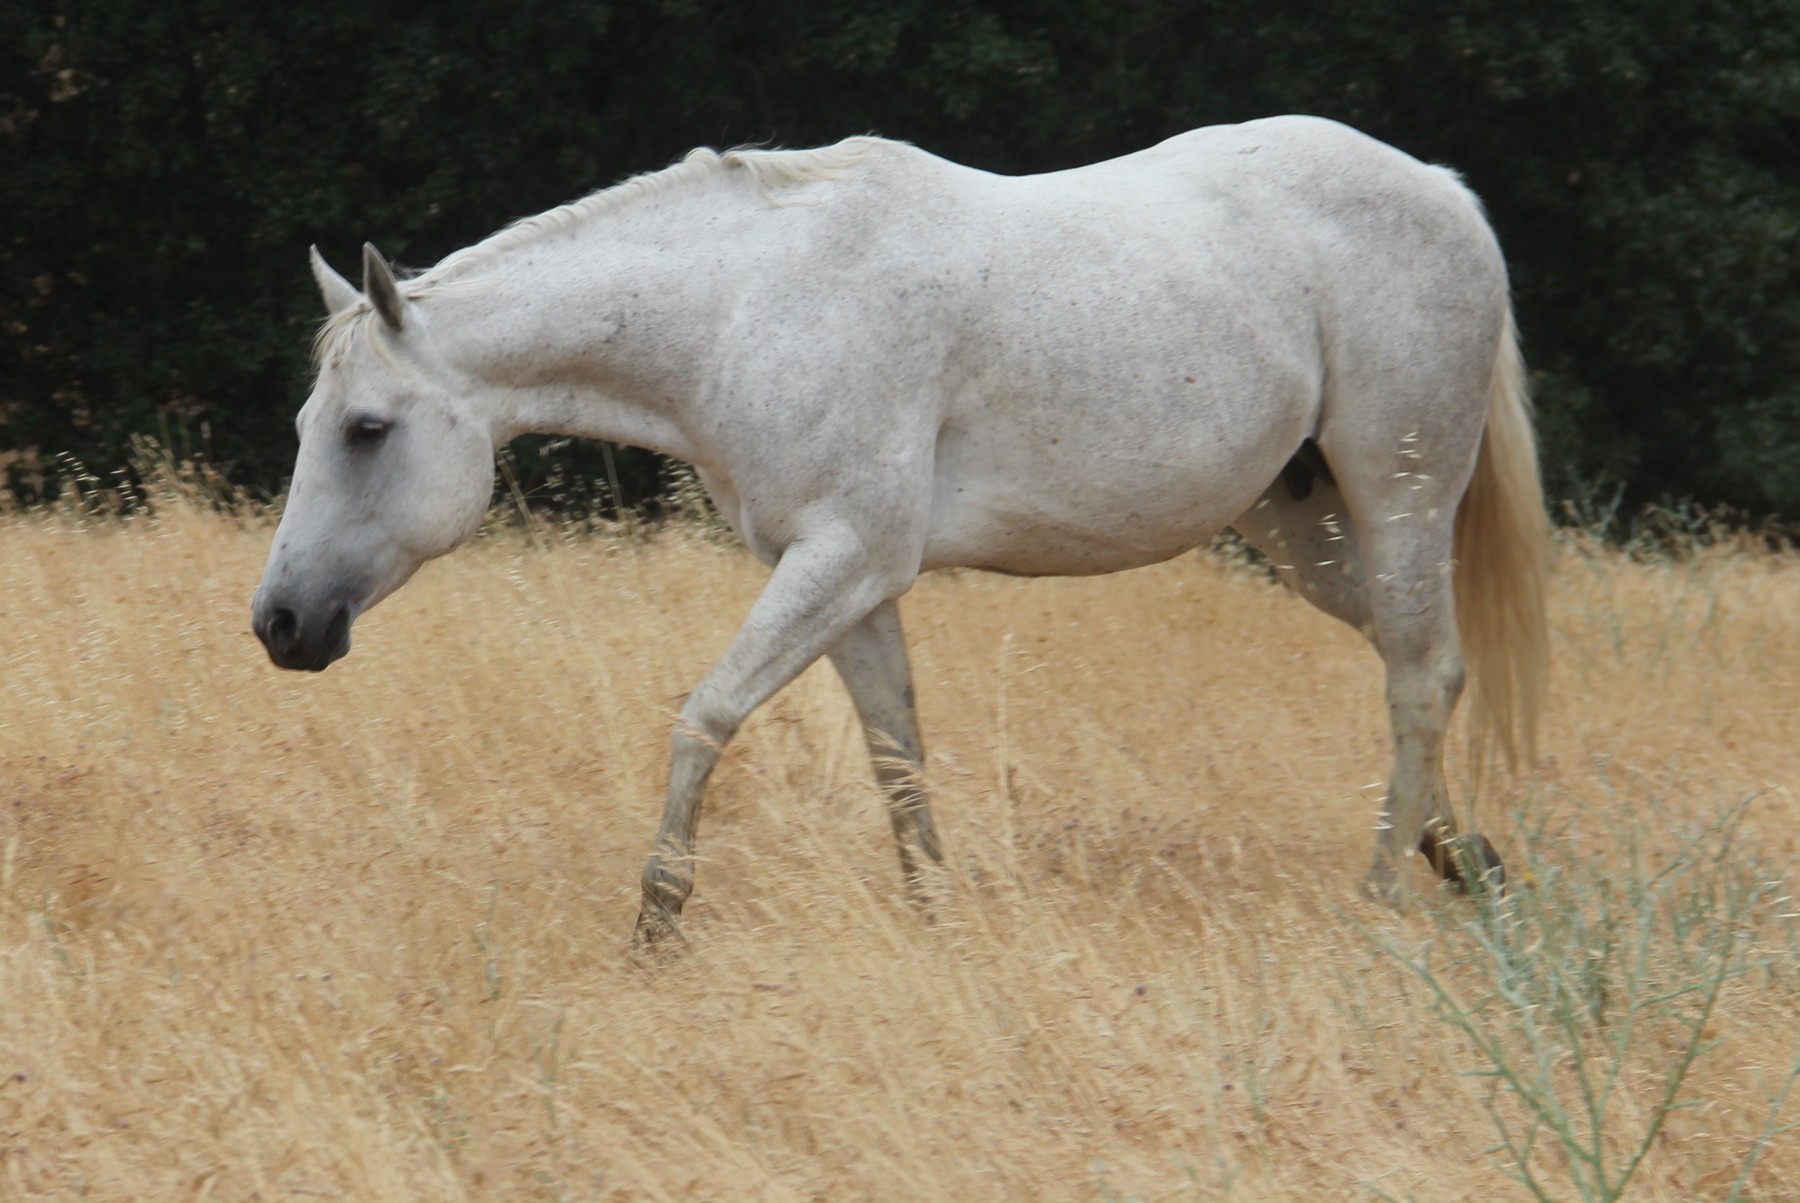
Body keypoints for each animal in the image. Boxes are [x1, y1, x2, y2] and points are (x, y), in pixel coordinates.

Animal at [250, 117, 1548, 943]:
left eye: (366, 429)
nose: (280, 624)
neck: (748, 305)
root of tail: (1444, 189)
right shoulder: (849, 581)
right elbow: (896, 755)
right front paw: (937, 923)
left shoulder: (845, 557)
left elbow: (704, 717)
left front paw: (658, 920)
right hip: (1309, 525)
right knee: (1417, 665)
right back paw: (1470, 866)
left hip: (1397, 495)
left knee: (1422, 678)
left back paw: (1381, 900)